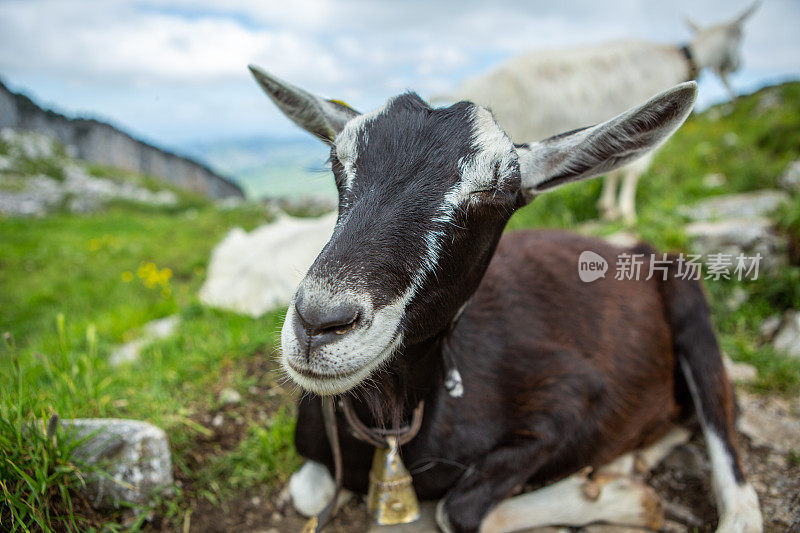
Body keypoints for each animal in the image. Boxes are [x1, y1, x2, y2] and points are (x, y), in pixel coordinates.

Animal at [250, 63, 764, 532]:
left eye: (499, 192)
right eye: (338, 162)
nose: (319, 323)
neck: (394, 428)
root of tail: (633, 249)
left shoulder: (575, 400)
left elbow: (455, 510)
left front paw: (620, 498)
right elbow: (307, 492)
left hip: (691, 311)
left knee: (734, 474)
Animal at [440, 2, 760, 222]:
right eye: (739, 35)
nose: (739, 66)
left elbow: (614, 168)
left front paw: (607, 208)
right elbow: (632, 171)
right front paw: (626, 213)